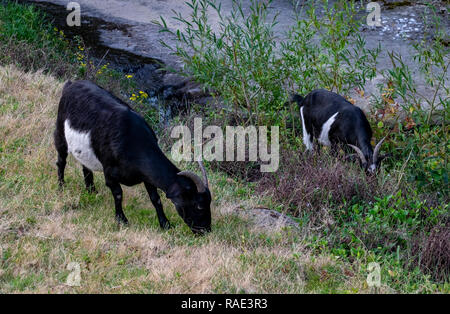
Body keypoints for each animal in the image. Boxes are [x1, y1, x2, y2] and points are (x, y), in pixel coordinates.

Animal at [54, 79, 213, 234]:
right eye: (199, 206)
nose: (206, 230)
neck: (132, 142)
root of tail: (71, 84)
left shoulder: (147, 177)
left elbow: (155, 198)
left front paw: (165, 224)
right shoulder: (109, 173)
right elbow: (118, 194)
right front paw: (122, 220)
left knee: (85, 166)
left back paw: (91, 191)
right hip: (60, 132)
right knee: (61, 161)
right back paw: (61, 187)